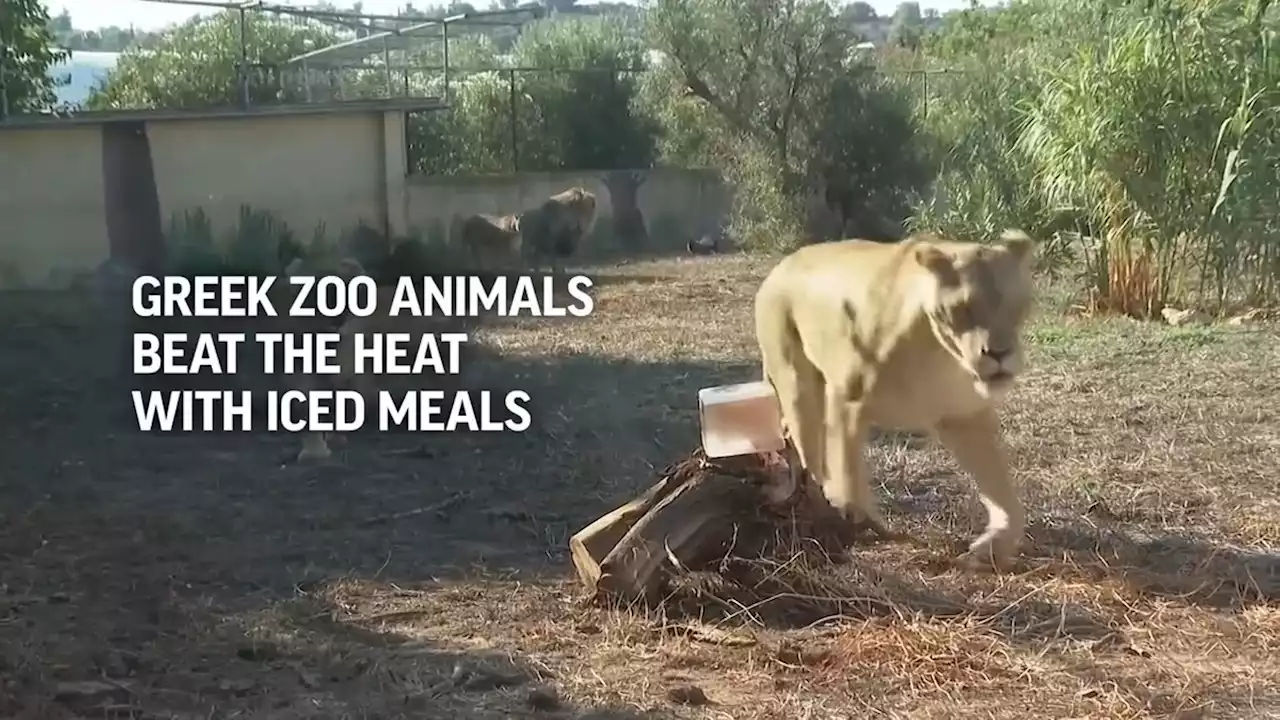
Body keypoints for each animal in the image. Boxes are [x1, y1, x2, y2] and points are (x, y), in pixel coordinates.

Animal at [752, 228, 1034, 566]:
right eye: (963, 309)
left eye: (1017, 306)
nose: (1000, 353)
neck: (940, 355)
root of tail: (783, 264)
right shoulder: (847, 400)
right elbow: (846, 469)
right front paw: (855, 517)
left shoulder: (964, 417)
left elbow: (1000, 486)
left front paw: (994, 545)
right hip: (797, 384)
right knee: (809, 450)